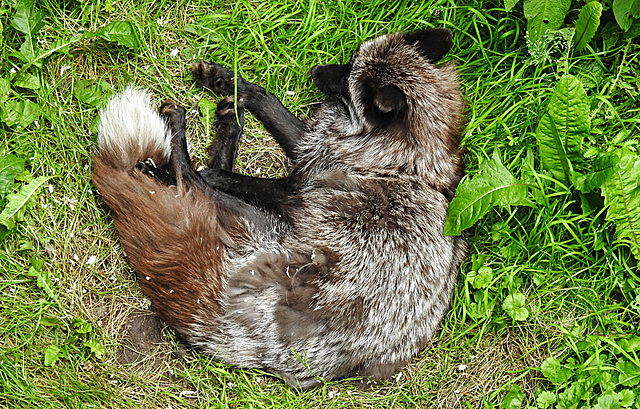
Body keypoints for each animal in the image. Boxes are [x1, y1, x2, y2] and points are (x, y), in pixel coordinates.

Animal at [92, 27, 464, 386]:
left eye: (347, 77)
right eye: (352, 58)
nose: (315, 70)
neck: (401, 160)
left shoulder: (295, 188)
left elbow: (235, 179)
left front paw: (208, 164)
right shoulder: (310, 147)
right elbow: (267, 99)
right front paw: (227, 80)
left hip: (263, 225)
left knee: (193, 181)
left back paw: (177, 149)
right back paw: (229, 125)